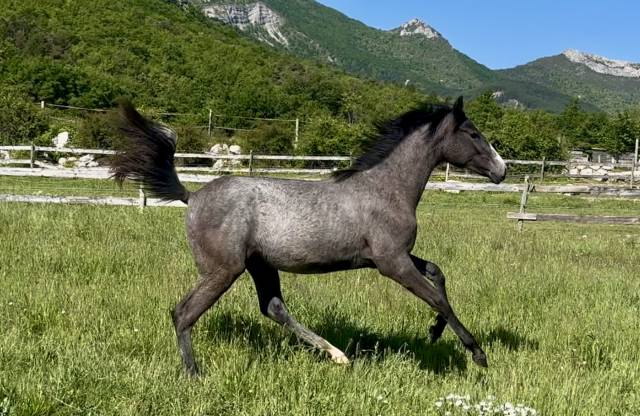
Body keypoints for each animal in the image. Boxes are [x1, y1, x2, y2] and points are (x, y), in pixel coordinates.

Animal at [111, 96, 506, 376]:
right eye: (473, 134)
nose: (501, 170)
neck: (386, 189)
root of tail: (192, 196)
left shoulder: (393, 257)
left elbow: (438, 274)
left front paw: (434, 332)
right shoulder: (391, 263)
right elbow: (436, 297)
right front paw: (477, 353)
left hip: (260, 265)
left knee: (273, 307)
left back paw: (337, 355)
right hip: (222, 270)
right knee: (183, 313)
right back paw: (194, 374)